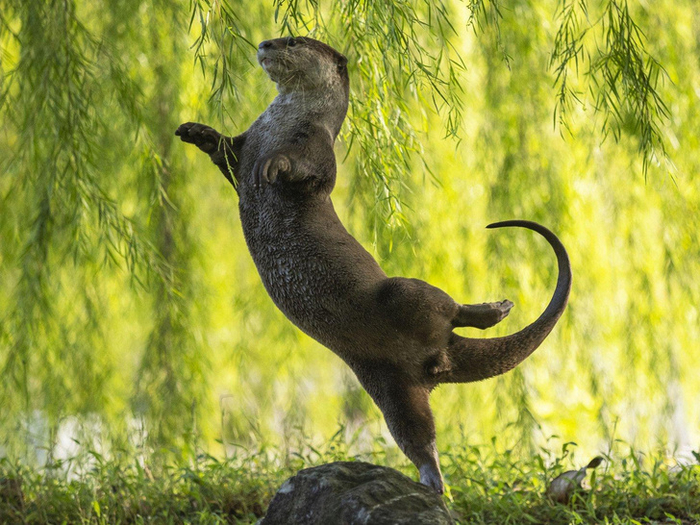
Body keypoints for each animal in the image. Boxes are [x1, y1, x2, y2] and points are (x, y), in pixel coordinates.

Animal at [175, 36, 571, 494]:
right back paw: (432, 483)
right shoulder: (247, 142)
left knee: (447, 307)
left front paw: (274, 164)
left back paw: (495, 309)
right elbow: (225, 152)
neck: (280, 123)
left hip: (402, 294)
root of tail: (440, 355)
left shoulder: (316, 148)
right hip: (388, 385)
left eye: (293, 40)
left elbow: (303, 170)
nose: (265, 43)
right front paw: (196, 132)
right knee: (417, 434)